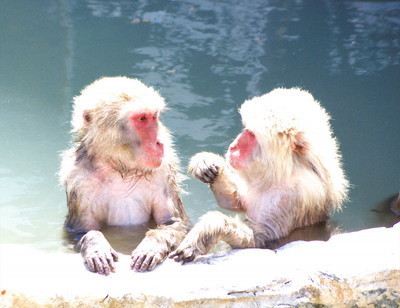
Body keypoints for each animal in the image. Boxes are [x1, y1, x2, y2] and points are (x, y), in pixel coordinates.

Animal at [59, 76, 191, 274]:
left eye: (153, 116)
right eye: (142, 118)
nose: (159, 142)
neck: (121, 168)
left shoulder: (164, 169)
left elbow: (172, 223)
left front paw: (151, 245)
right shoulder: (79, 178)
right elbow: (80, 230)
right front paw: (96, 246)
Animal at [170, 87, 348, 262]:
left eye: (252, 134)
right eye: (246, 129)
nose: (234, 146)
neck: (283, 172)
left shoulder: (293, 196)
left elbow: (262, 240)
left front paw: (209, 228)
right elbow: (235, 202)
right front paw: (205, 162)